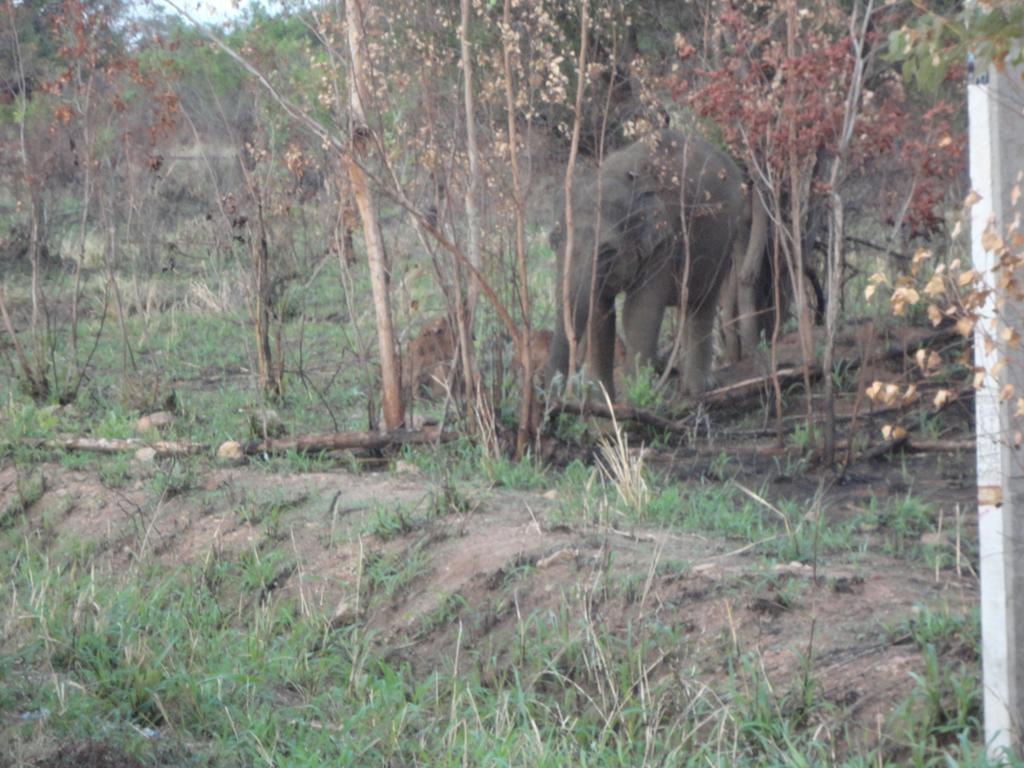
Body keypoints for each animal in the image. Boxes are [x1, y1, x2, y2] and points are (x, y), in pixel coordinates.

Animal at [544, 128, 753, 399]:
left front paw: (637, 397)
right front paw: (602, 401)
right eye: (554, 240)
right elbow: (600, 314)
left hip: (724, 241)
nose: (551, 400)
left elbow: (639, 312)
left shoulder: (665, 242)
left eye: (607, 252)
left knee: (702, 303)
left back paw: (699, 390)